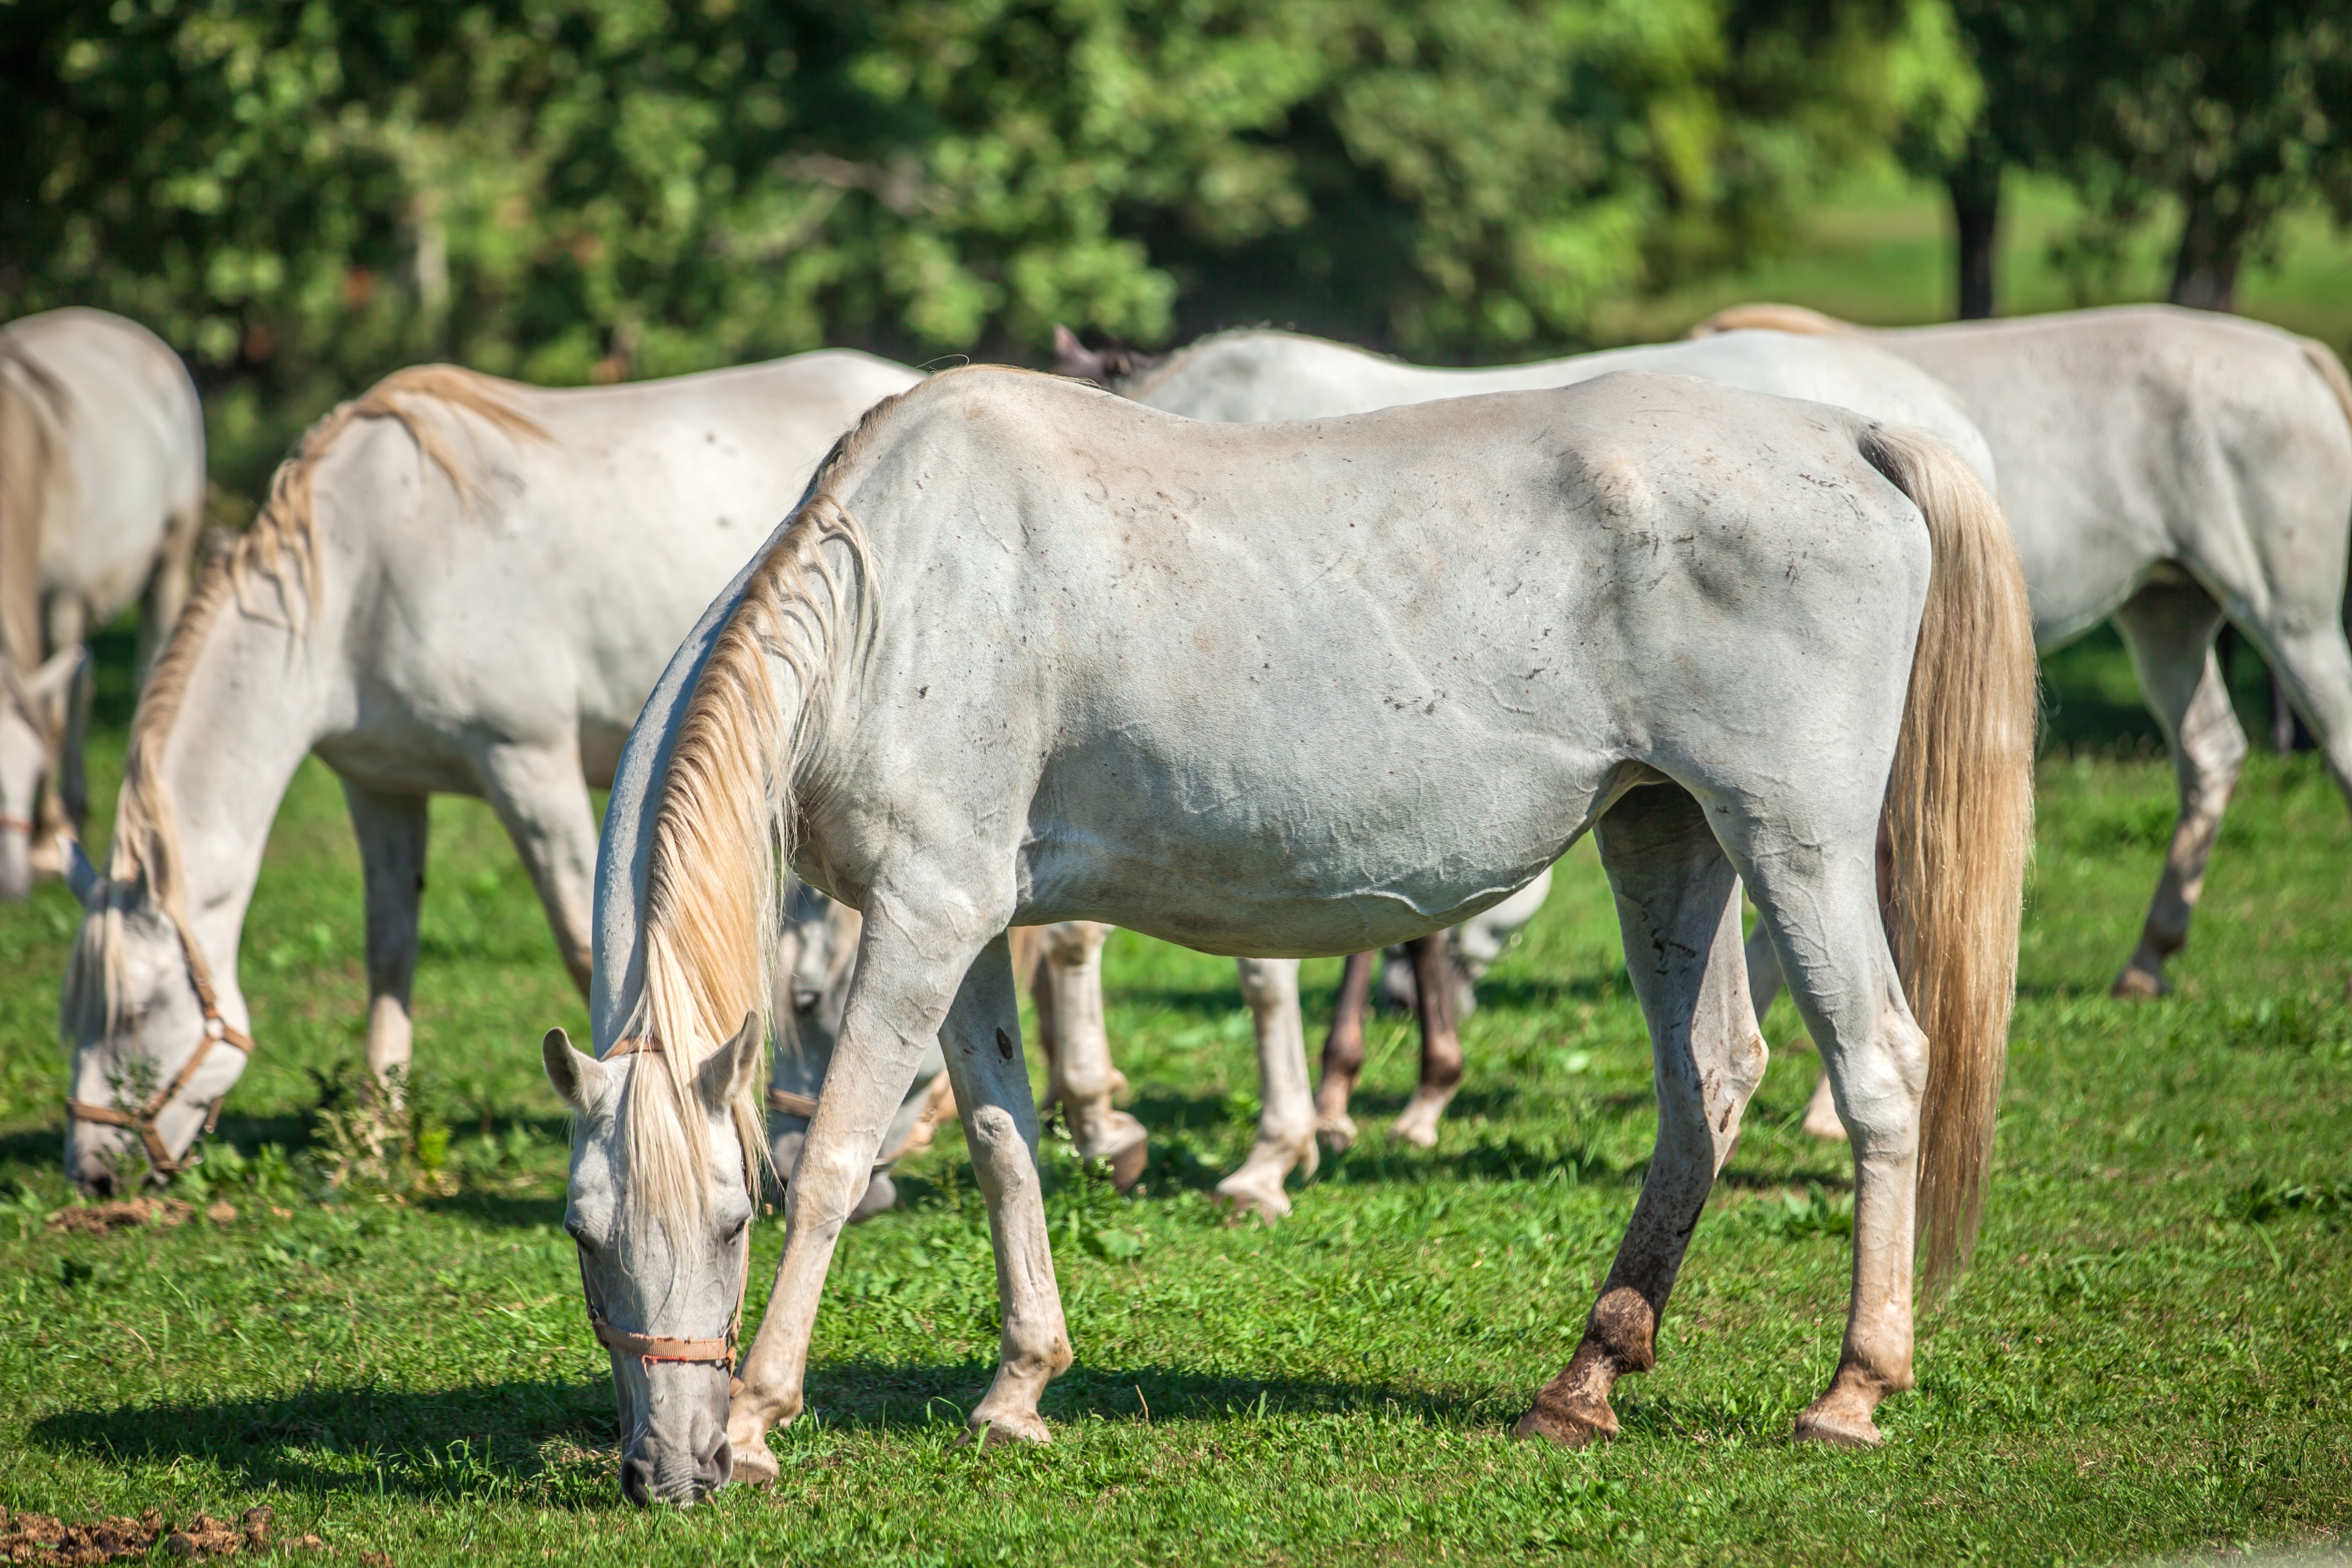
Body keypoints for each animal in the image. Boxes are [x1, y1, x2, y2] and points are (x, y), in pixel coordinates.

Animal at [0, 308, 204, 903]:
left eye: (29, 769)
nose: (10, 887)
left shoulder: (60, 600)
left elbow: (52, 718)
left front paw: (50, 839)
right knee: (84, 681)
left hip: (169, 561)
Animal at [55, 352, 917, 1189]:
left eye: (133, 1014)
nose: (92, 1172)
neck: (360, 576)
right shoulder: (382, 786)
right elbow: (389, 953)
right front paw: (371, 1146)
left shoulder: (525, 762)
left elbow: (585, 950)